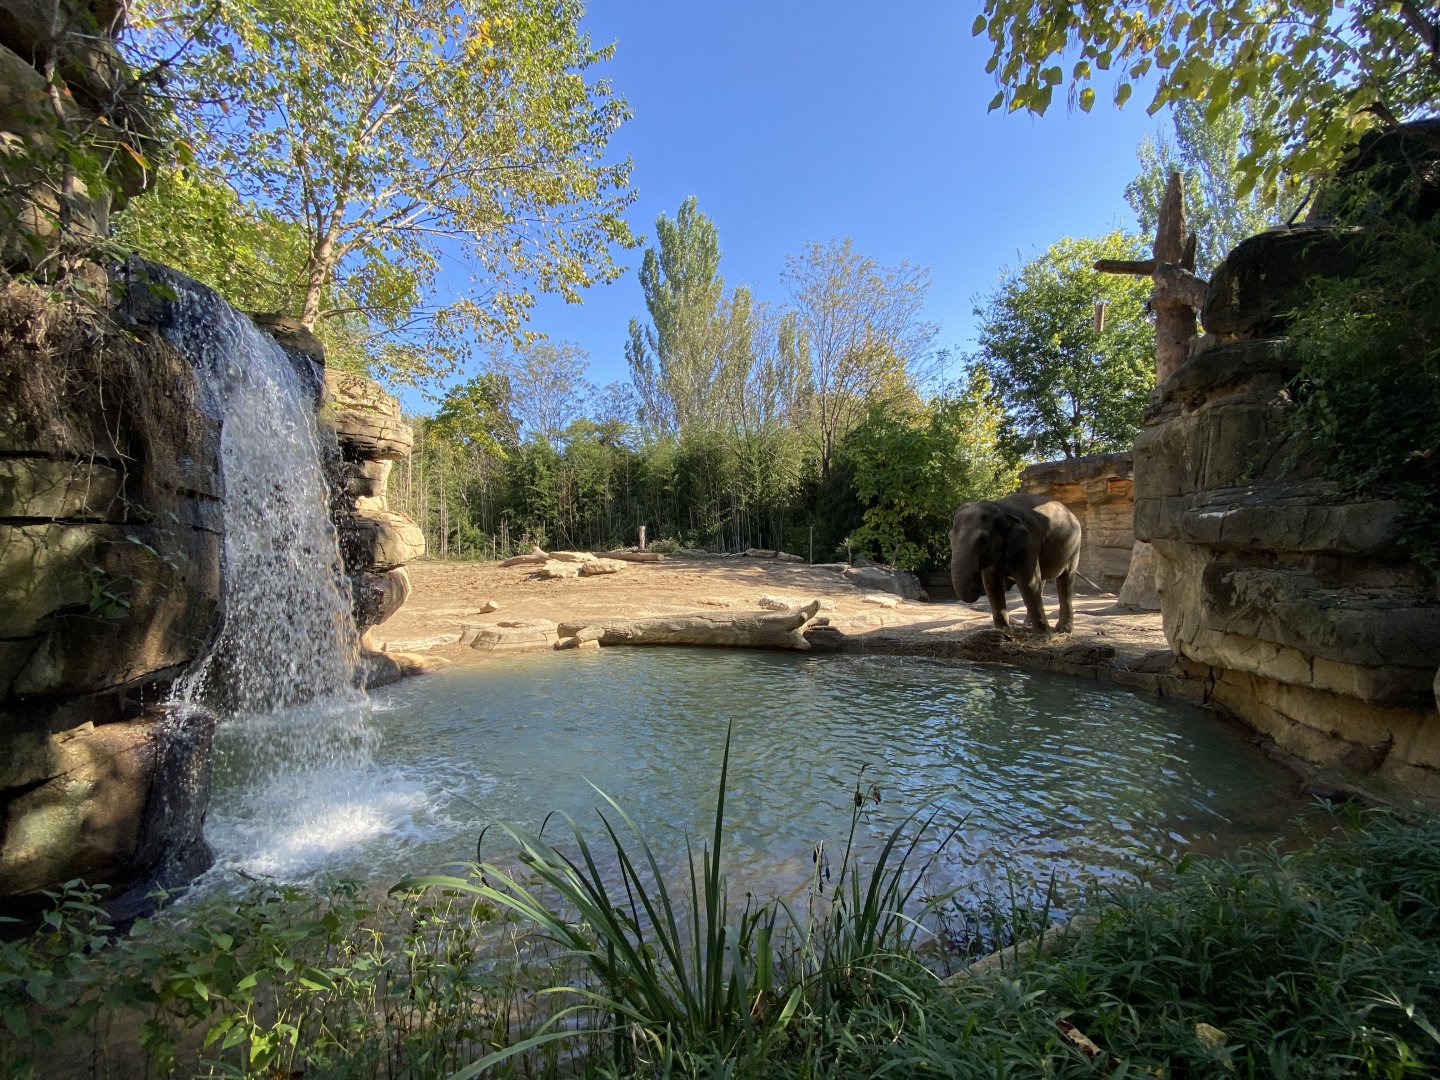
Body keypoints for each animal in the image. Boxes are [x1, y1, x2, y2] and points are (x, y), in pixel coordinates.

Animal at [949, 493, 1082, 635]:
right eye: (949, 537)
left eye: (983, 540)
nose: (975, 586)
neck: (999, 507)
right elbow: (991, 585)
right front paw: (1002, 630)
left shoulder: (1028, 544)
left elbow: (1028, 582)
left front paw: (1043, 635)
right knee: (1042, 580)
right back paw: (1028, 624)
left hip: (1074, 546)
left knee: (1065, 580)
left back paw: (1063, 629)